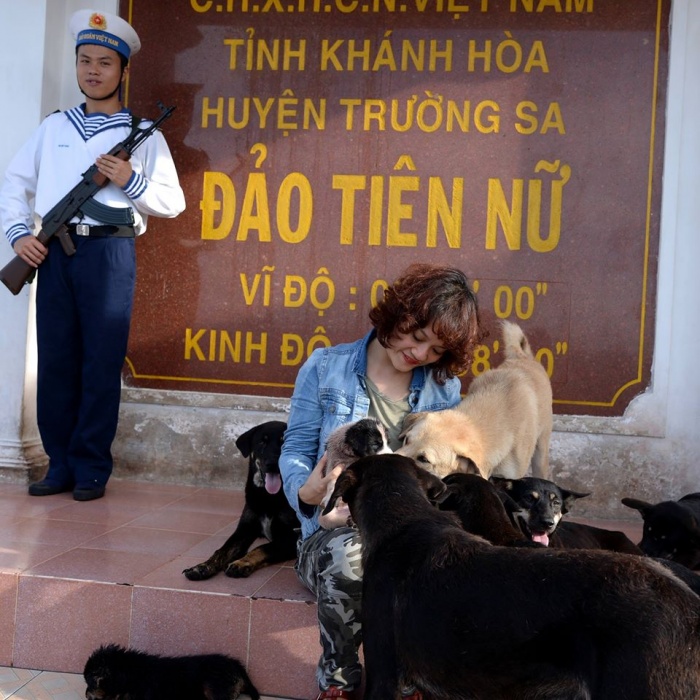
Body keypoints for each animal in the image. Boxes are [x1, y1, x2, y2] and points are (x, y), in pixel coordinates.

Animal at [182, 422, 296, 580]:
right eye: (262, 442)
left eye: (284, 441)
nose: (272, 463)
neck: (267, 497)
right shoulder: (243, 530)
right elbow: (222, 550)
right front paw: (202, 566)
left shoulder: (294, 536)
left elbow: (262, 548)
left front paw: (241, 563)